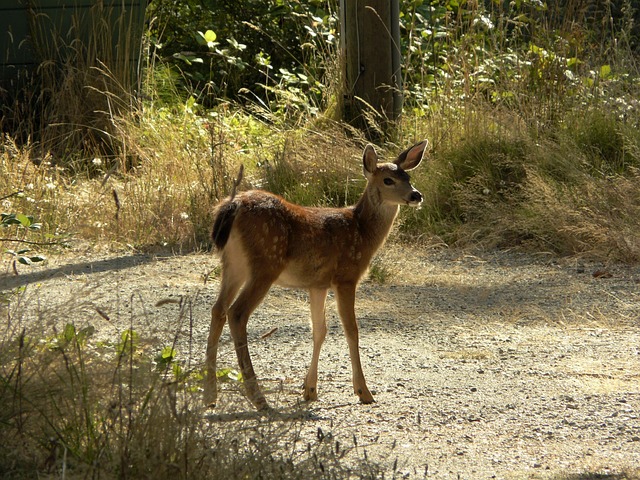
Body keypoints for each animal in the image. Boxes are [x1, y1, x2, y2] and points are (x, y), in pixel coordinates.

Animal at [204, 140, 428, 411]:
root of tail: (232, 206)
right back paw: (258, 398)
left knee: (218, 309)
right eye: (388, 180)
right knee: (236, 313)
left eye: (408, 176)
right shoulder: (346, 277)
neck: (361, 231)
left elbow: (319, 330)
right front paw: (363, 391)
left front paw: (310, 389)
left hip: (233, 264)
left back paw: (210, 395)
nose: (416, 195)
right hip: (265, 263)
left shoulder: (317, 284)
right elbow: (351, 330)